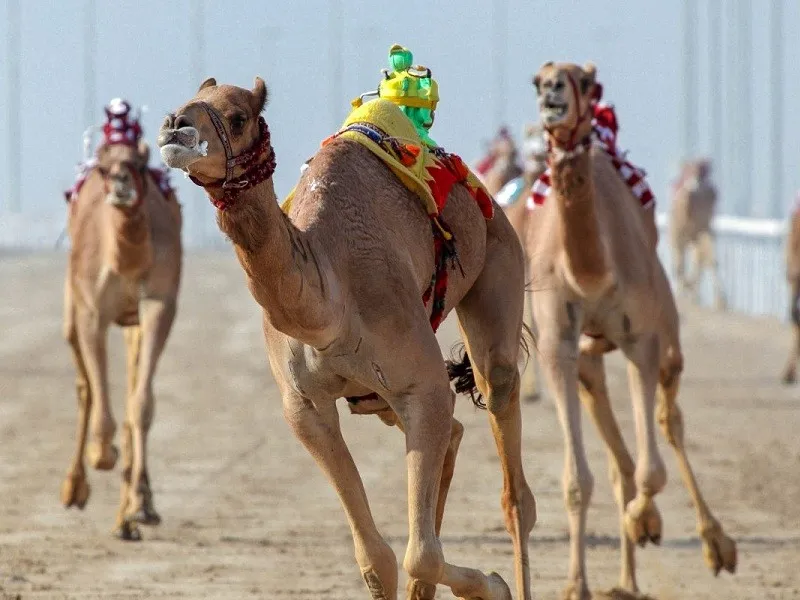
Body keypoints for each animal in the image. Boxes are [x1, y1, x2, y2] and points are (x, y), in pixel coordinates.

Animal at [60, 99, 183, 541]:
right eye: (102, 165)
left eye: (139, 160)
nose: (120, 183)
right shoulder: (91, 310)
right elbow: (98, 397)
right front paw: (102, 453)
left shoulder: (159, 304)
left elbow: (140, 404)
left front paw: (141, 507)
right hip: (72, 304)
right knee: (84, 385)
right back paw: (74, 488)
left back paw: (127, 516)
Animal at [157, 77, 535, 600]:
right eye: (185, 99)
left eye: (237, 116)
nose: (176, 125)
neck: (328, 305)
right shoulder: (305, 408)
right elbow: (377, 558)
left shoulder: (421, 385)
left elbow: (420, 553)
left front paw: (494, 585)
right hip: (377, 397)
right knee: (455, 435)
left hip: (499, 251)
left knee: (513, 481)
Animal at [670, 159, 726, 309]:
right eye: (687, 171)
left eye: (701, 171)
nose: (693, 186)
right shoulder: (677, 233)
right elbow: (679, 266)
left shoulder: (703, 229)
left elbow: (708, 260)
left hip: (702, 233)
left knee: (703, 260)